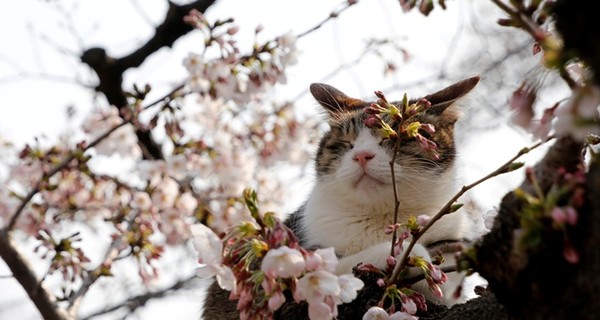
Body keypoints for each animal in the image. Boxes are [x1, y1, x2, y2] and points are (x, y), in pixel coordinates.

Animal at [202, 76, 482, 318]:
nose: (361, 156)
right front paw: (404, 254)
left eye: (395, 138)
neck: (380, 218)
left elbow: (445, 285)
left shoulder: (450, 242)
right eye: (347, 144)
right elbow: (330, 270)